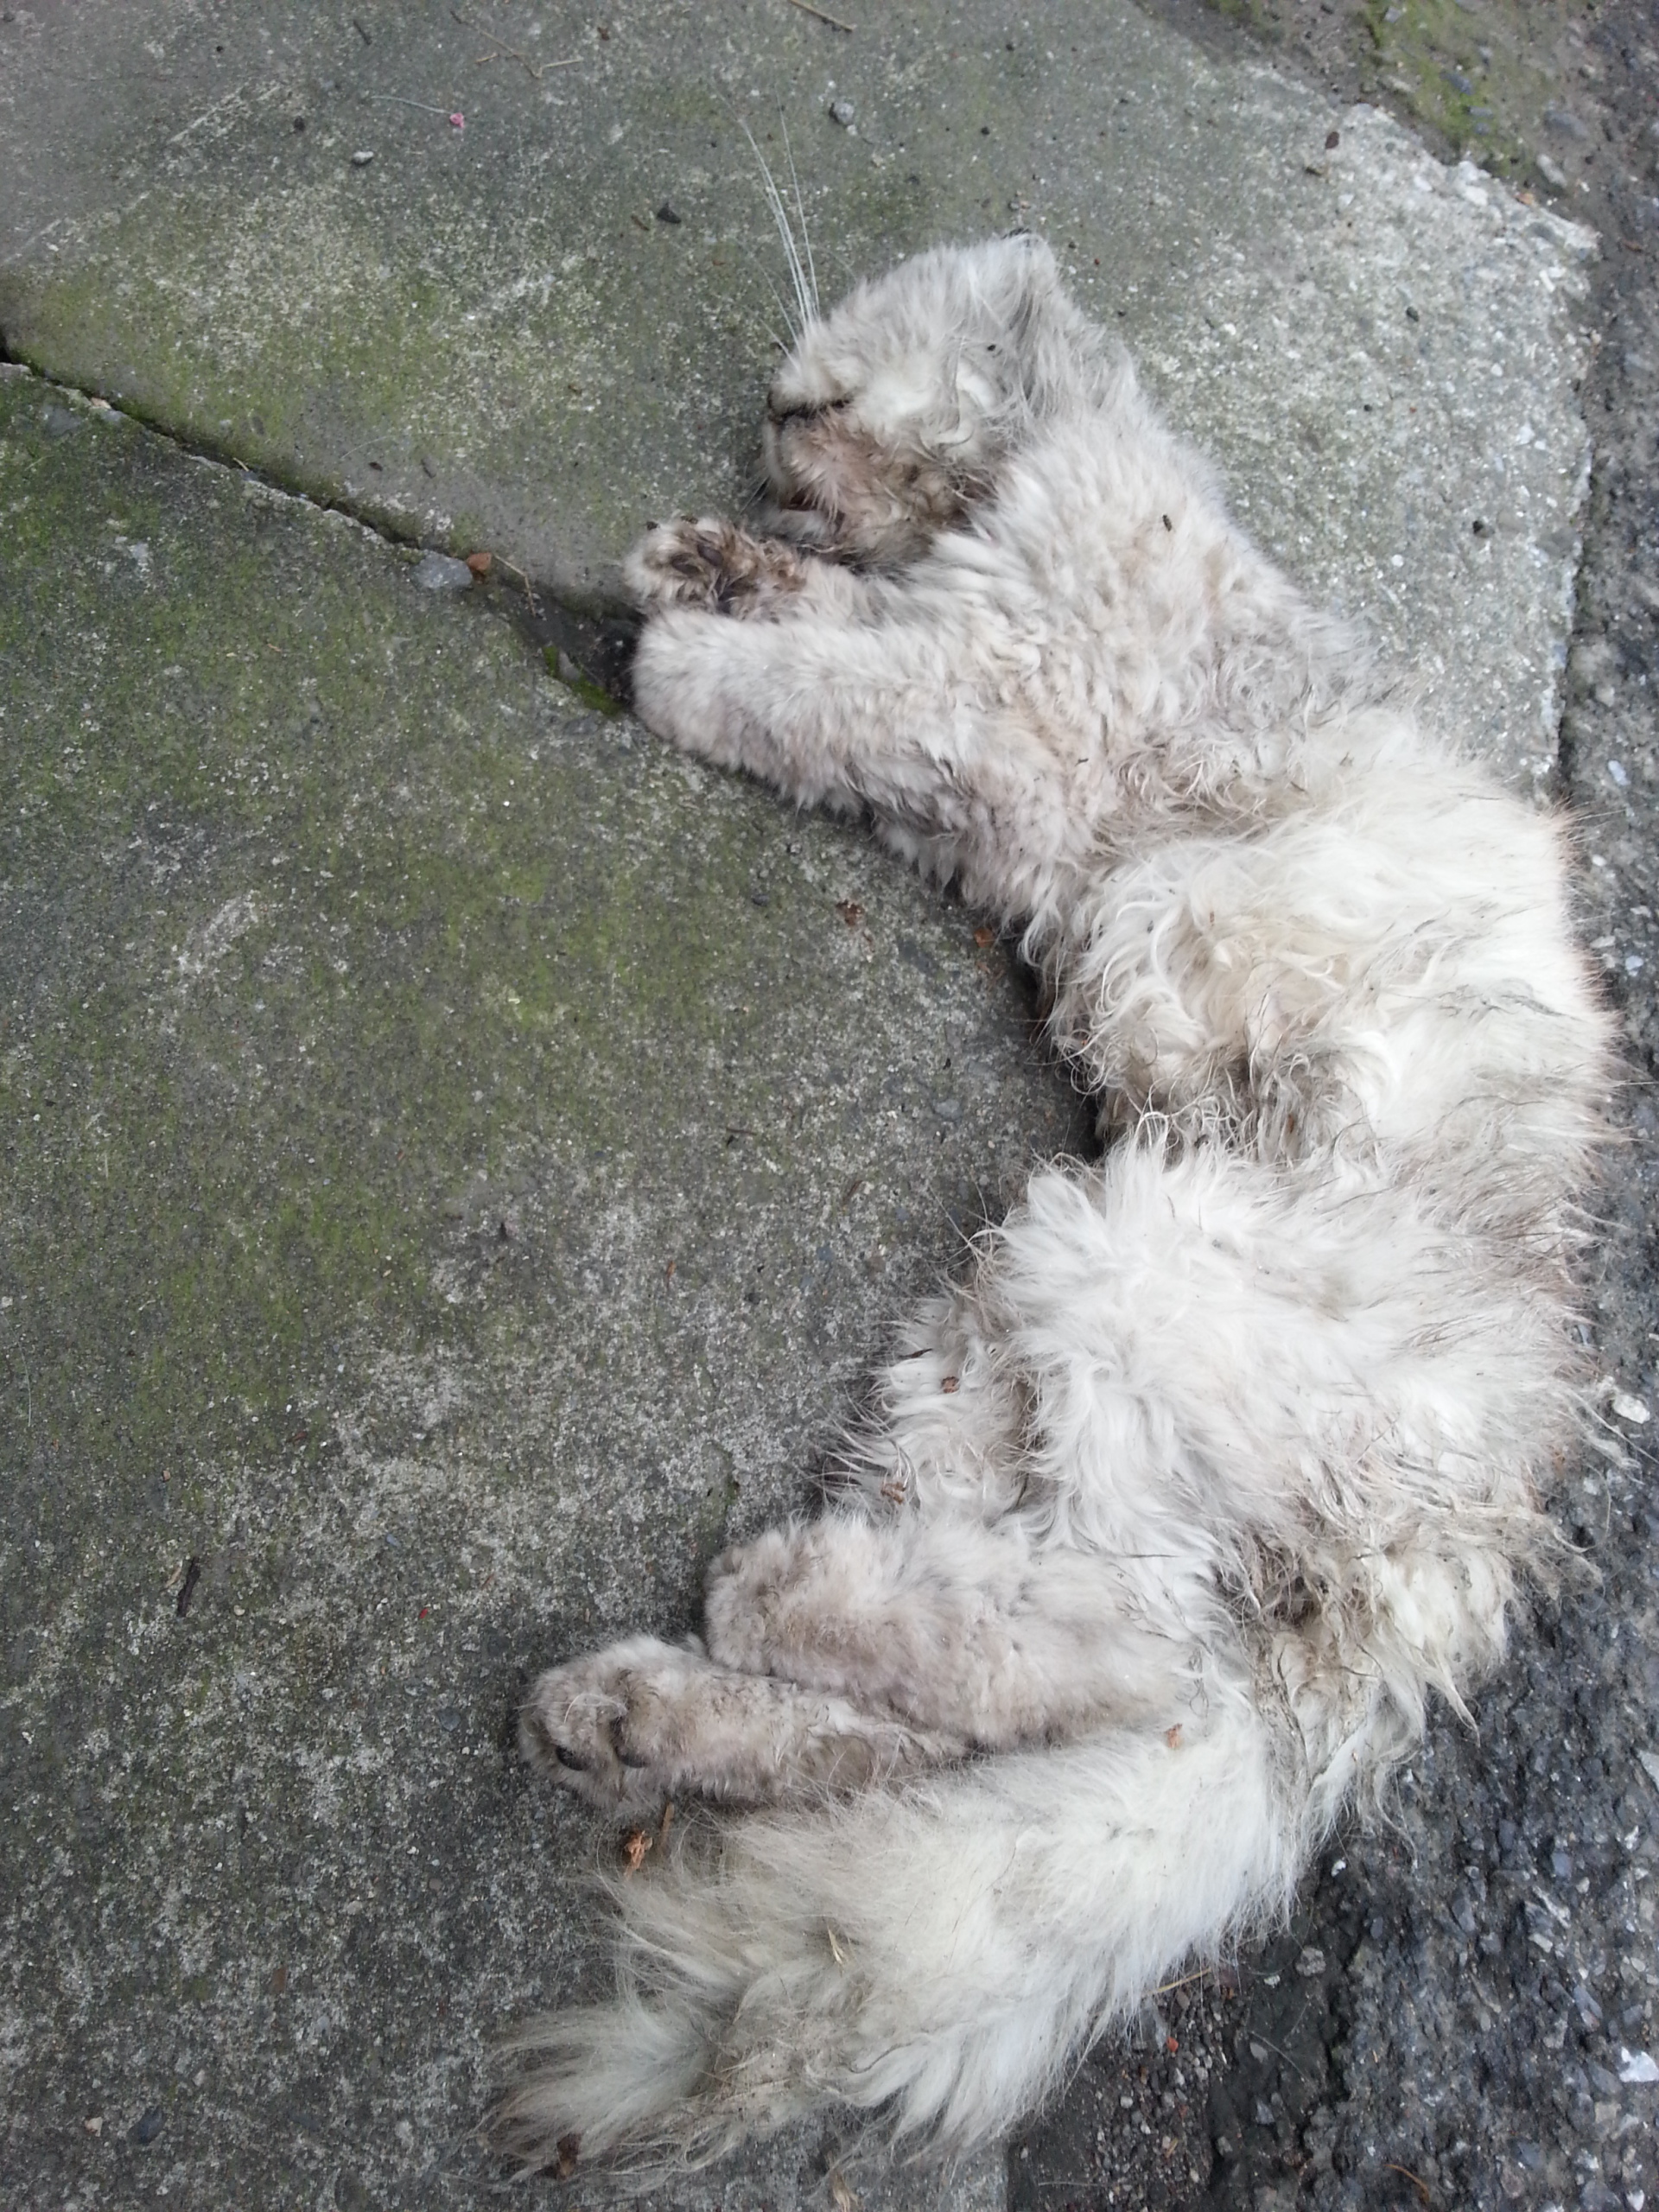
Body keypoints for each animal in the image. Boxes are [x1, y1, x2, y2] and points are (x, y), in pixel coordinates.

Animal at [496, 235, 1611, 2177]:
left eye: (823, 379)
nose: (775, 432)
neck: (1045, 473)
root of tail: (1473, 1529)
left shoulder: (1005, 693)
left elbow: (810, 688)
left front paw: (688, 643)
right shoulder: (970, 754)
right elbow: (835, 631)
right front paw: (710, 560)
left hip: (1120, 1270)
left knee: (1099, 1652)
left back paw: (759, 1602)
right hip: (995, 1354)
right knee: (973, 1709)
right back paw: (633, 1706)